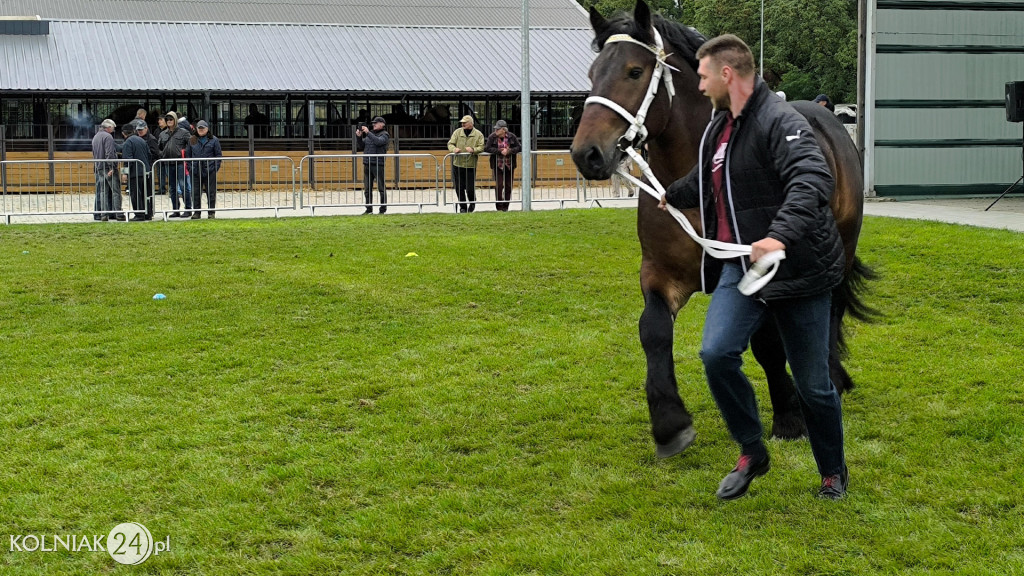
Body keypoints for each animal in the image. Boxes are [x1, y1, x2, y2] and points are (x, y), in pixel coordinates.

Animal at [569, 0, 872, 455]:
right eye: (592, 73)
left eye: (634, 72)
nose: (586, 154)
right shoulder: (660, 274)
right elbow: (653, 332)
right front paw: (670, 423)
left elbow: (767, 345)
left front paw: (788, 416)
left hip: (841, 249)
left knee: (829, 315)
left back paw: (830, 379)